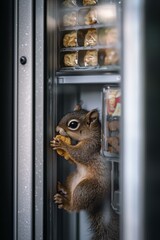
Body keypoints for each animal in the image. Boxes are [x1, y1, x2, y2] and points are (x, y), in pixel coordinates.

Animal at [50, 105, 119, 240]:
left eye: (73, 124)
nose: (57, 129)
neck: (91, 134)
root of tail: (100, 202)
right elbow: (74, 160)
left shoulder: (91, 146)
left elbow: (80, 154)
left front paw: (62, 144)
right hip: (72, 177)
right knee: (70, 192)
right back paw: (63, 188)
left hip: (85, 189)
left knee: (74, 207)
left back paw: (65, 203)